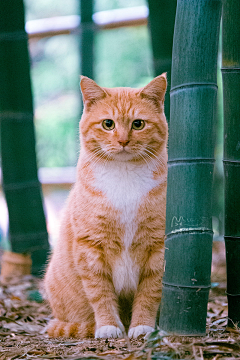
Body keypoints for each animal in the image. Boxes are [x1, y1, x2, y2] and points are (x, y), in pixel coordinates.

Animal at [44, 74, 169, 338]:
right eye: (108, 124)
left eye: (138, 124)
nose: (123, 140)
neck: (124, 175)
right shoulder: (91, 246)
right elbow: (100, 293)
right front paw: (109, 326)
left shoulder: (157, 246)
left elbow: (149, 293)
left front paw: (142, 326)